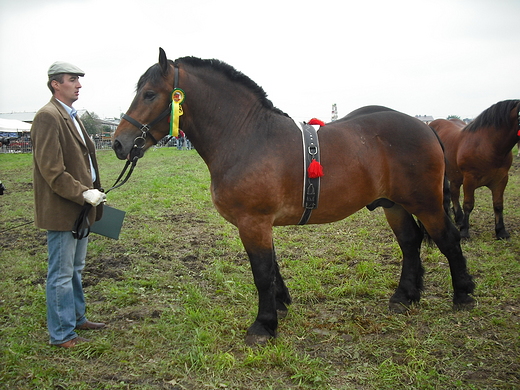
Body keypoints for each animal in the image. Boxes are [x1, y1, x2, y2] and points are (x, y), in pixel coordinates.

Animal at [430, 100, 520, 241]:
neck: (488, 145)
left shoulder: (501, 179)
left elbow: (498, 205)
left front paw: (501, 231)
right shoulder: (469, 179)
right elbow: (468, 204)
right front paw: (464, 231)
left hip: (455, 175)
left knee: (454, 194)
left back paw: (459, 218)